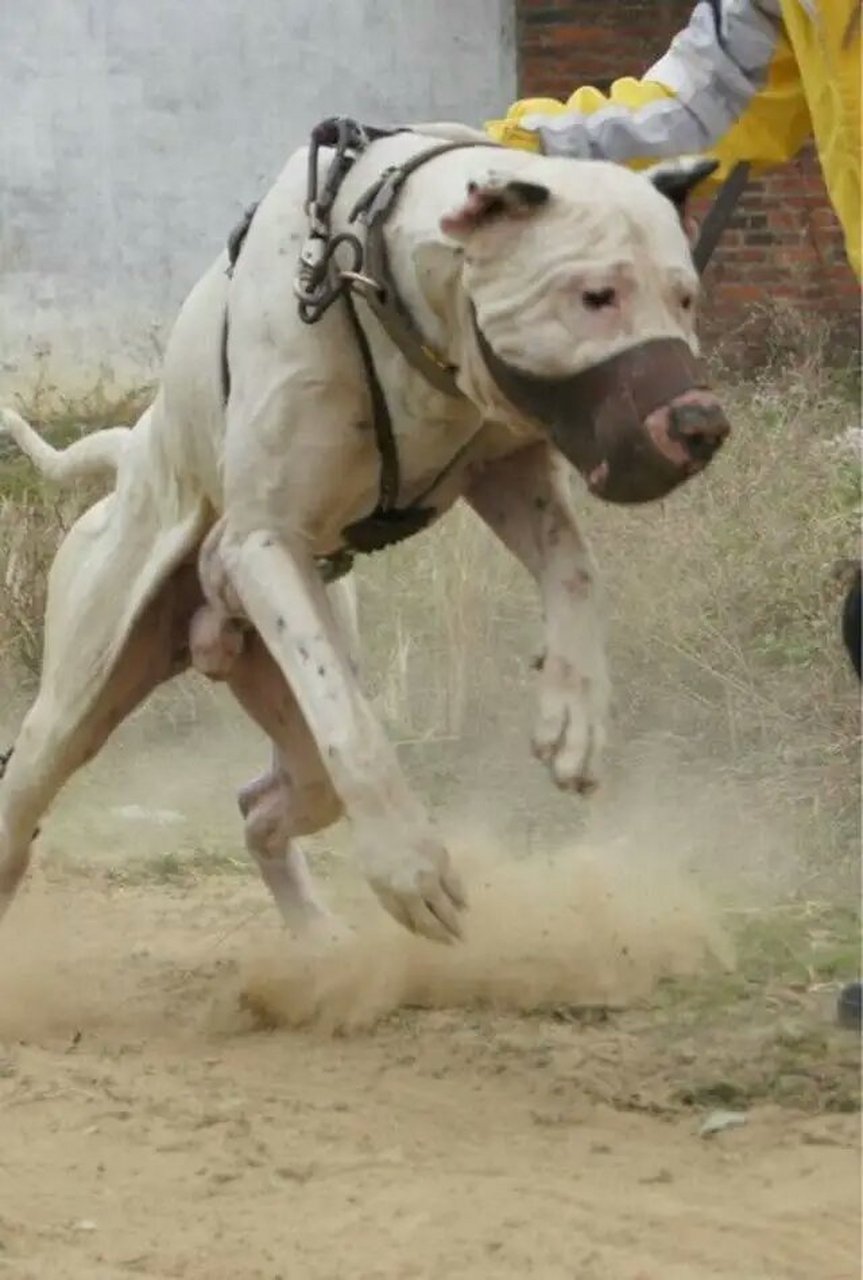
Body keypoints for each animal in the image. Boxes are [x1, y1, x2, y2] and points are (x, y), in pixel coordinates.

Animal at [0, 124, 727, 947]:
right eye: (596, 295)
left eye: (685, 297)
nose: (700, 424)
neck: (380, 273)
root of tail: (130, 454)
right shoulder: (265, 546)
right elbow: (351, 726)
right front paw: (408, 863)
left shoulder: (507, 472)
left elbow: (574, 569)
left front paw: (574, 713)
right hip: (74, 703)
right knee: (26, 804)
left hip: (283, 717)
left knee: (264, 806)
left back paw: (317, 936)